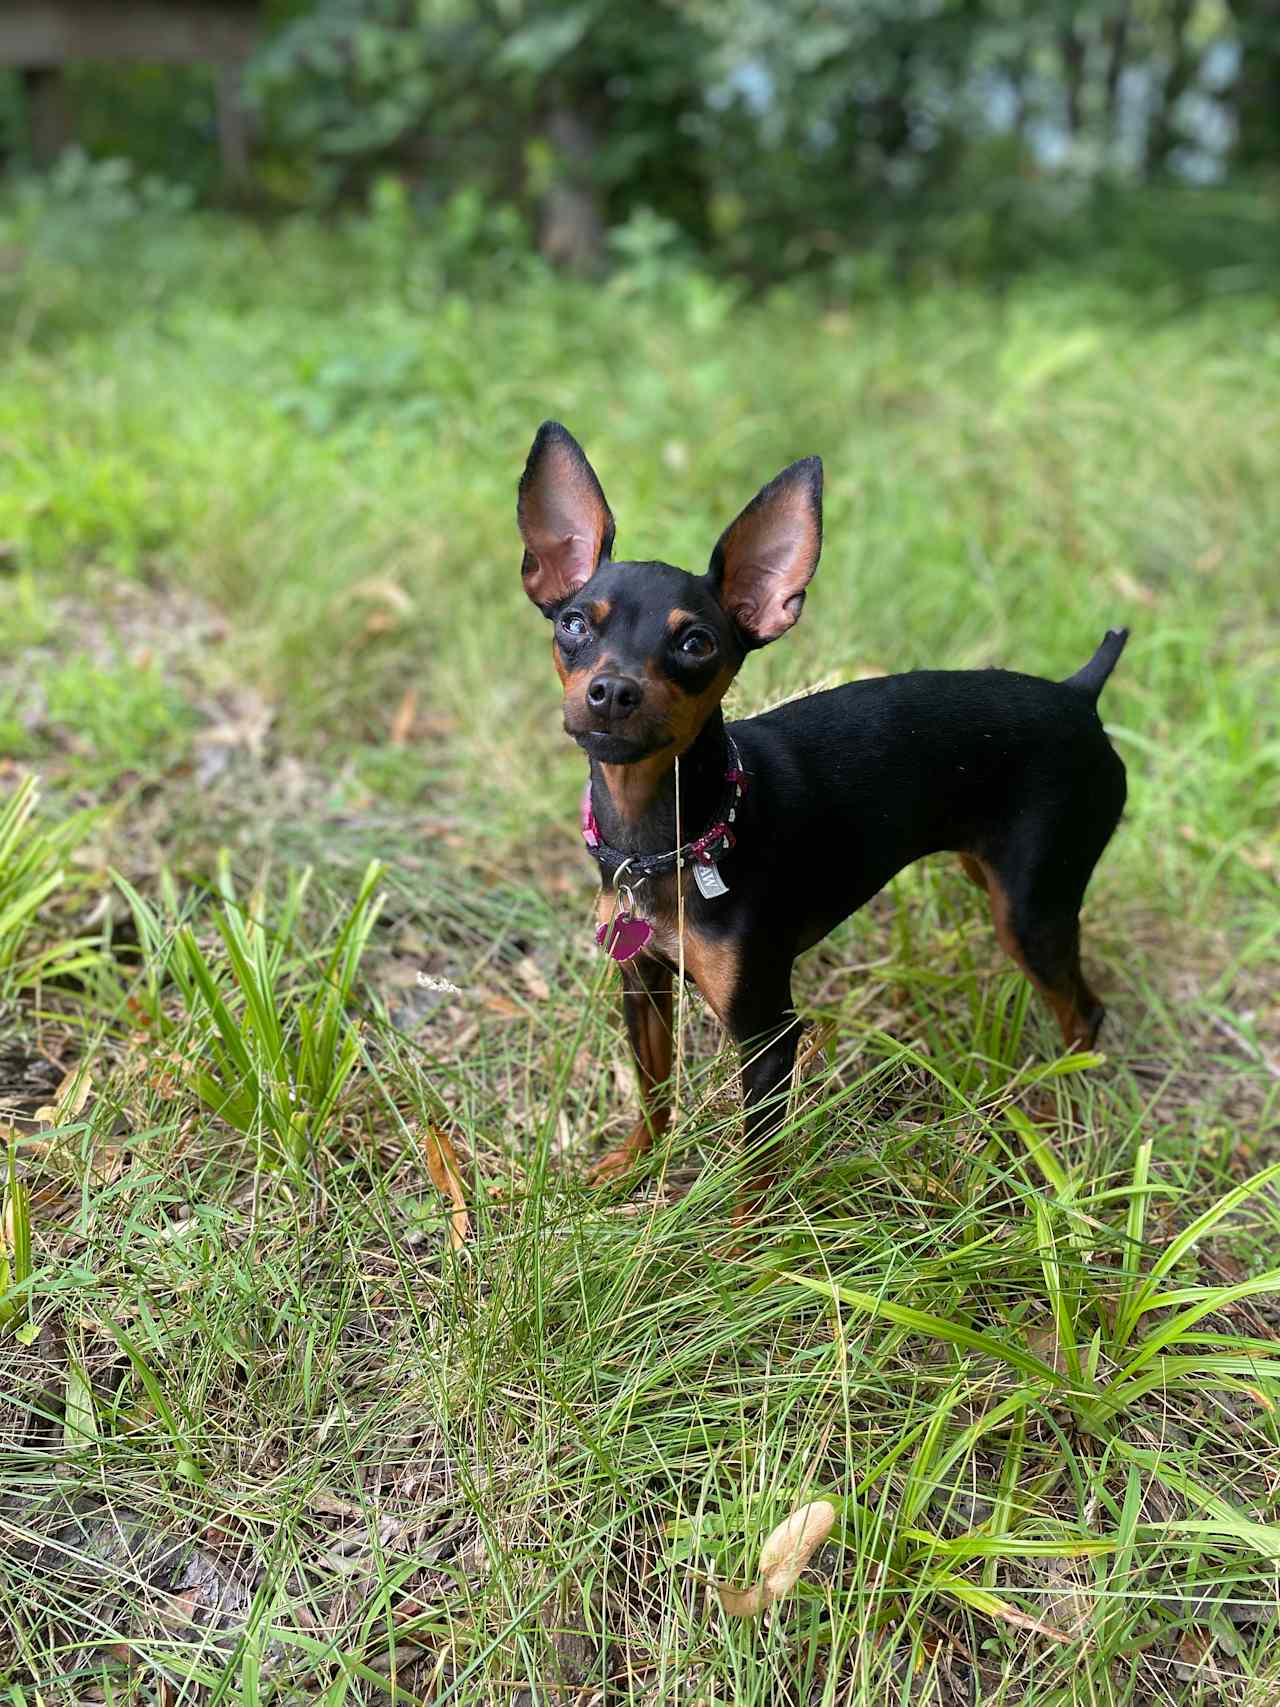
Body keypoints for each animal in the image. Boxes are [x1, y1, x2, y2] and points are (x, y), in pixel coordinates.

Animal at [515, 419, 1126, 1208]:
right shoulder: (642, 983)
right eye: (572, 624)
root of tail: (1079, 694)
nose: (612, 691)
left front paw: (744, 1234)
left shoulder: (769, 1035)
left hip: (1030, 911)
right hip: (986, 870)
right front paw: (634, 1161)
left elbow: (758, 1164)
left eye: (695, 643)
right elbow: (654, 1089)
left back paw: (1053, 1113)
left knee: (1085, 1013)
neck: (671, 837)